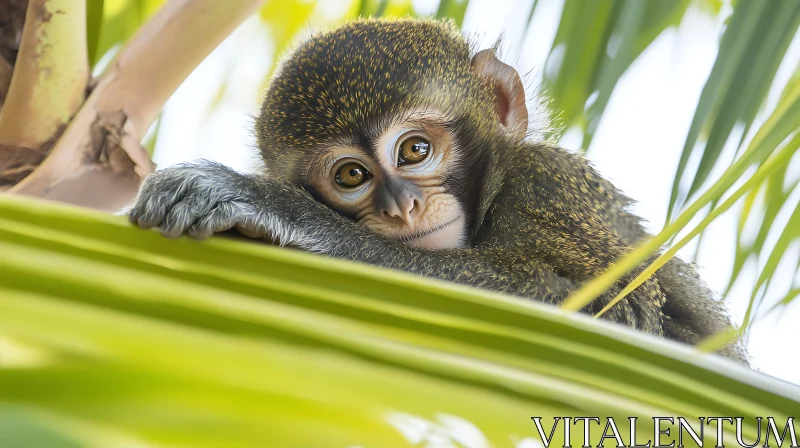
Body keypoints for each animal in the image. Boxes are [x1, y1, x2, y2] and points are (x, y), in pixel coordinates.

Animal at [128, 17, 748, 364]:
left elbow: (618, 317)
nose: (404, 207)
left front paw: (273, 208)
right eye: (351, 176)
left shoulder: (548, 187)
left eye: (415, 151)